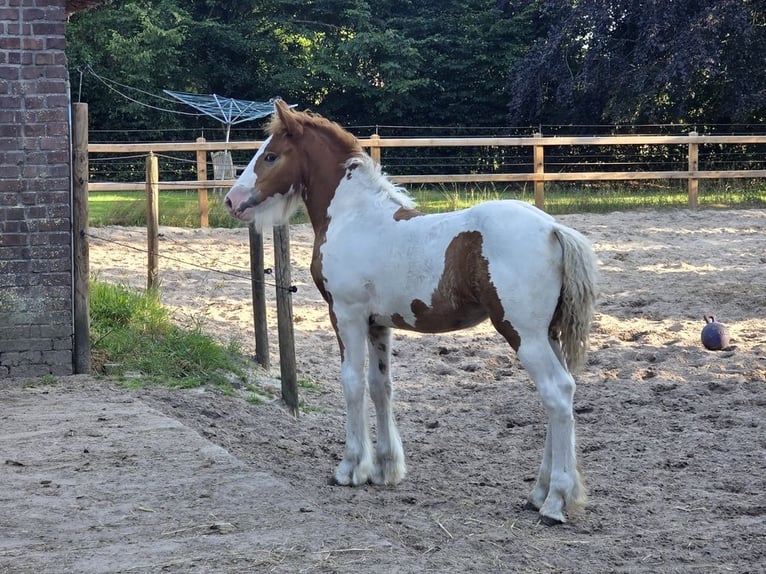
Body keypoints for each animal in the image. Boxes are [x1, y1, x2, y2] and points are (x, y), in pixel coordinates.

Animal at [225, 100, 599, 525]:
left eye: (270, 155)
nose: (232, 200)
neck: (355, 217)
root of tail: (553, 228)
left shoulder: (347, 315)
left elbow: (352, 383)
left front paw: (351, 468)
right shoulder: (378, 324)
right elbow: (380, 386)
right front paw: (385, 469)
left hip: (525, 334)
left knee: (556, 393)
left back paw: (555, 501)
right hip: (548, 333)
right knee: (562, 393)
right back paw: (540, 493)